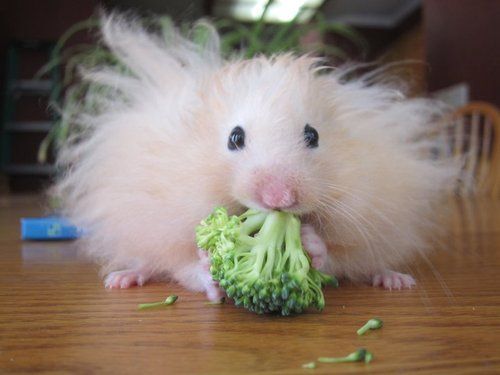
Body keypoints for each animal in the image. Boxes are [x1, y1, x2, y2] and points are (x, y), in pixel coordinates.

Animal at [52, 14, 456, 302]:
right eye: (235, 138)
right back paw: (121, 279)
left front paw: (309, 242)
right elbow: (186, 264)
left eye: (313, 135)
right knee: (144, 262)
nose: (279, 199)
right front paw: (210, 272)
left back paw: (396, 280)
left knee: (370, 264)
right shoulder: (166, 228)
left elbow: (334, 254)